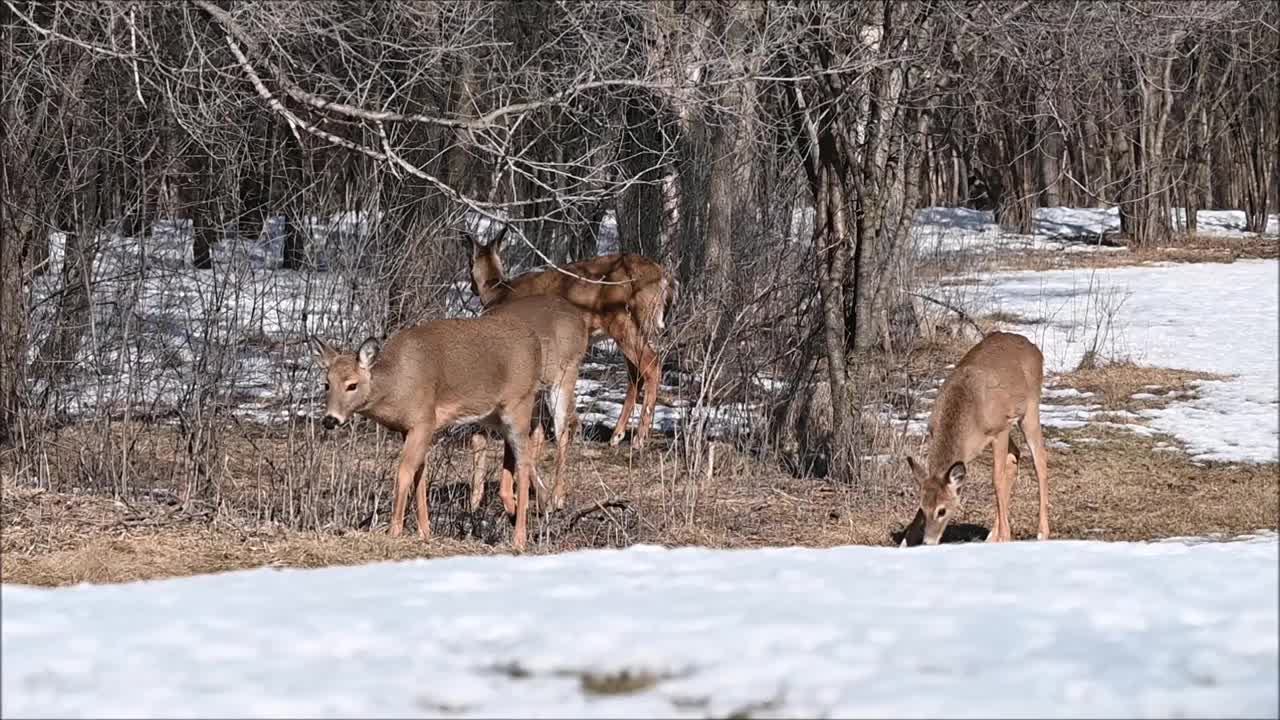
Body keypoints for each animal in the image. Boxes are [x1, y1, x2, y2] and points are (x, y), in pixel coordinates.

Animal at [313, 311, 550, 550]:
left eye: (352, 385)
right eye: (326, 384)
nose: (330, 419)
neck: (396, 387)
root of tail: (535, 342)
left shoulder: (424, 420)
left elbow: (404, 472)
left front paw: (394, 531)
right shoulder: (409, 428)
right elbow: (421, 474)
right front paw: (424, 532)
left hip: (519, 404)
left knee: (525, 461)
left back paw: (519, 538)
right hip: (495, 416)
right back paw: (517, 512)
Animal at [465, 222, 675, 448]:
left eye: (469, 262)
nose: (472, 288)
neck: (498, 291)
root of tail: (664, 278)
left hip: (625, 322)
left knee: (651, 366)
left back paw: (639, 438)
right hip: (632, 329)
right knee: (636, 375)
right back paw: (616, 435)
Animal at [468, 294, 591, 512]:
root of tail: (580, 318)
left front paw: (541, 500)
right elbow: (478, 441)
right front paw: (474, 504)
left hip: (564, 377)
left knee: (561, 433)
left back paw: (557, 497)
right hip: (537, 395)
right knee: (541, 432)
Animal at [901, 330, 1049, 543]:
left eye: (942, 511)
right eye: (922, 508)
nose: (928, 542)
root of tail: (1035, 349)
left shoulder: (999, 430)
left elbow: (996, 479)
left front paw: (1006, 535)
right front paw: (905, 542)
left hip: (1029, 410)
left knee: (1040, 460)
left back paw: (1041, 532)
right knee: (1015, 456)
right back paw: (992, 536)